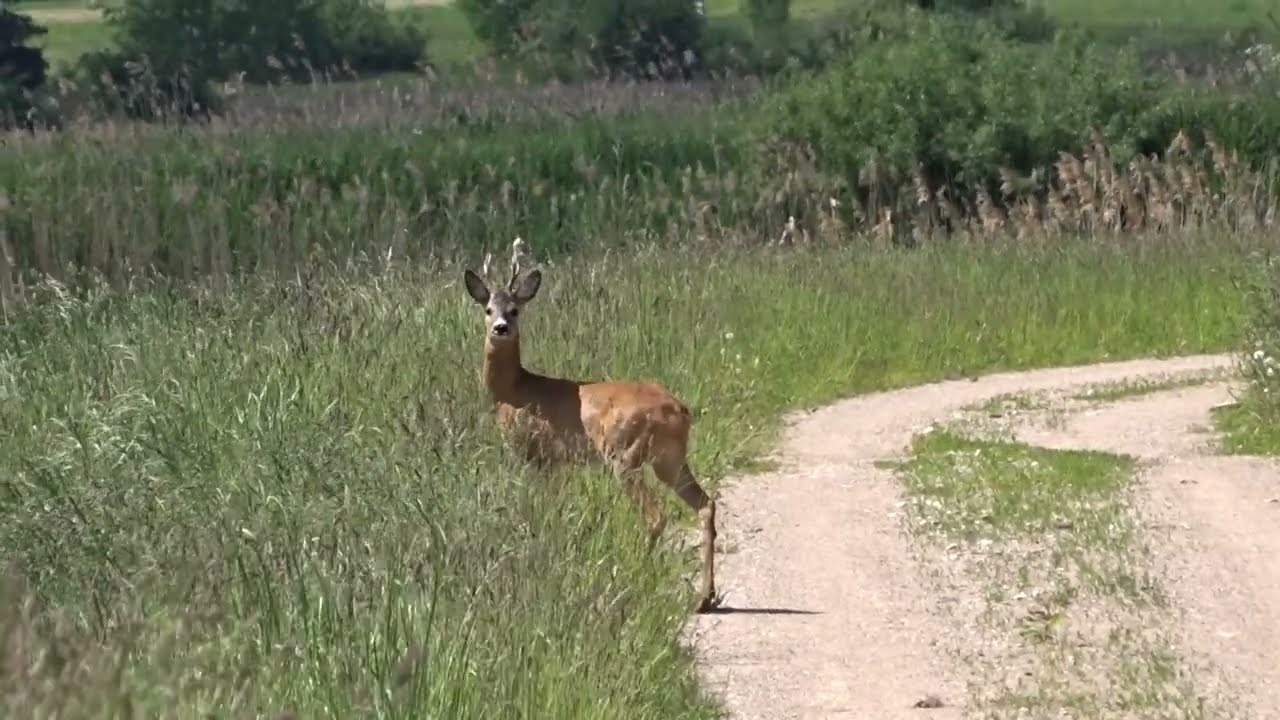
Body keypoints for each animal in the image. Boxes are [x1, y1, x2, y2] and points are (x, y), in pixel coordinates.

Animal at [462, 245, 721, 614]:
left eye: (514, 310)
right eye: (488, 309)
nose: (500, 327)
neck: (514, 391)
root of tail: (679, 411)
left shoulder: (535, 453)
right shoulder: (557, 463)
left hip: (625, 454)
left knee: (655, 515)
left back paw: (637, 577)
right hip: (670, 459)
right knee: (706, 504)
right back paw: (704, 597)